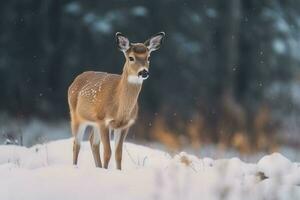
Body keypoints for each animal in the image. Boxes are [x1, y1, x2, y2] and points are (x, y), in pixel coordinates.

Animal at [68, 32, 165, 170]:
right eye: (131, 58)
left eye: (149, 57)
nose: (144, 72)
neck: (119, 109)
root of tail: (76, 79)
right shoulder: (104, 120)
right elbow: (108, 152)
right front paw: (106, 171)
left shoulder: (124, 125)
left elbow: (118, 154)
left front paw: (117, 171)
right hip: (76, 115)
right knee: (77, 143)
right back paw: (75, 167)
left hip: (94, 122)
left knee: (93, 142)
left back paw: (97, 167)